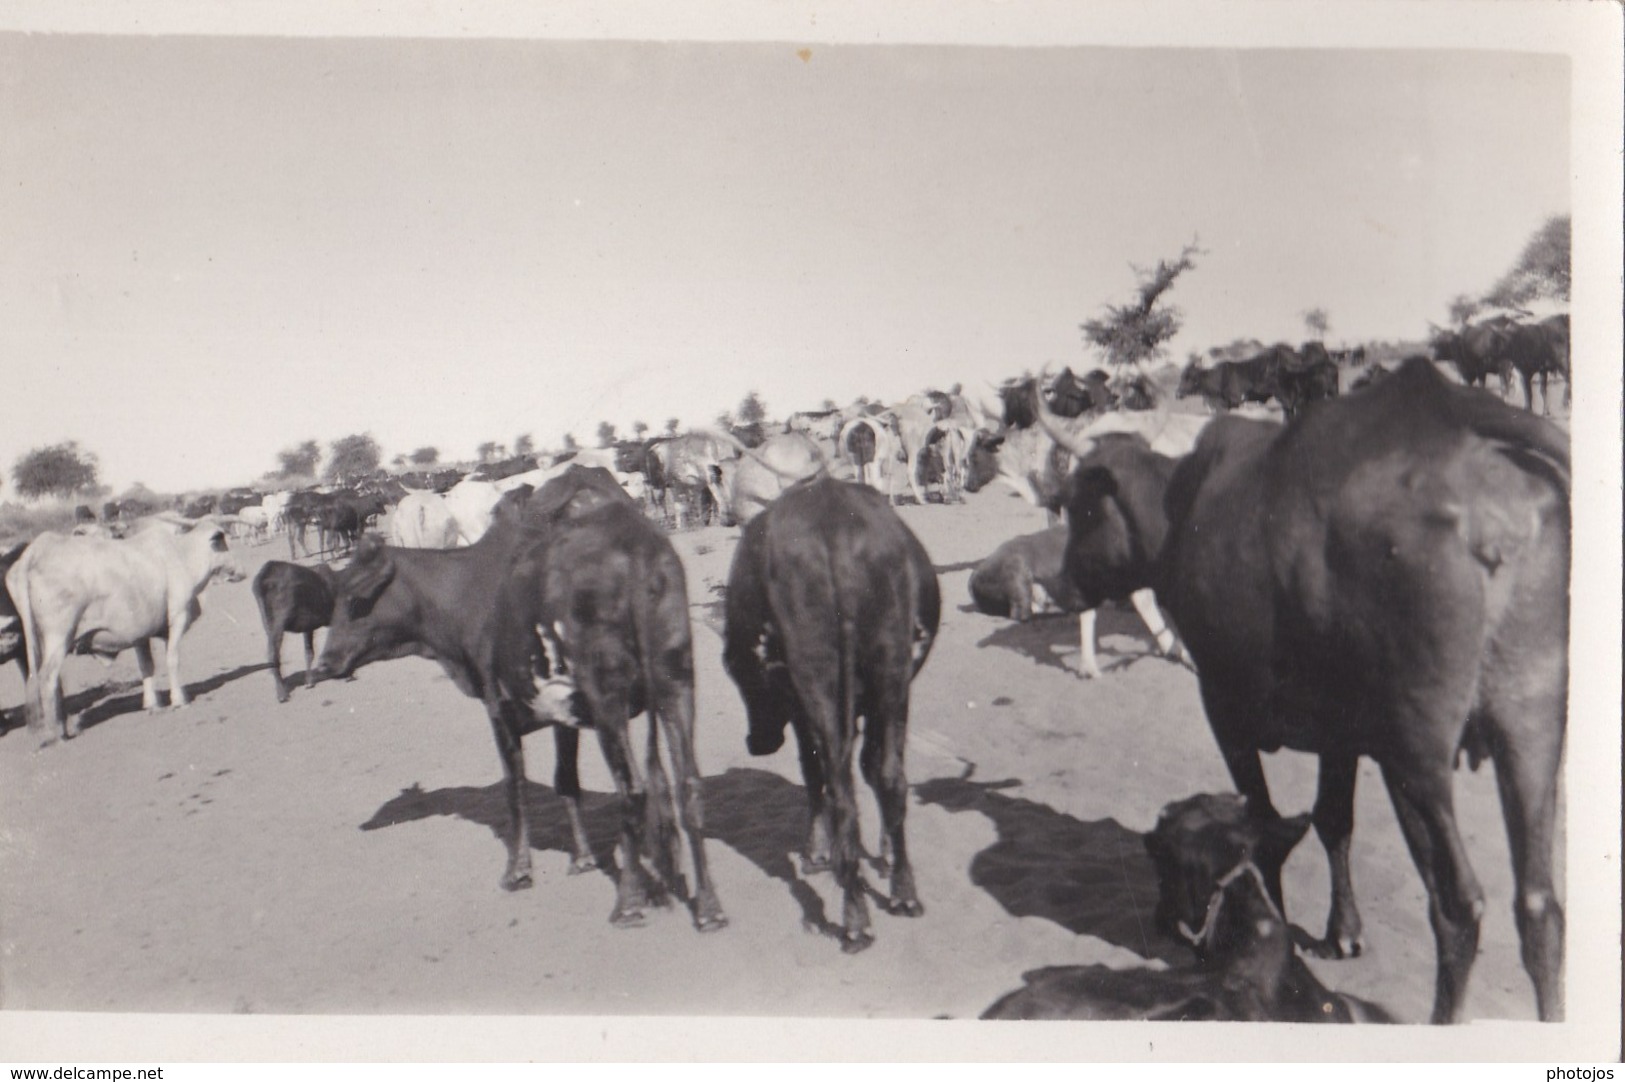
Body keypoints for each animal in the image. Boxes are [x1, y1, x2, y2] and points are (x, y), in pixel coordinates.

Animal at [7, 516, 247, 740]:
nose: (242, 571)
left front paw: (153, 704)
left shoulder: (140, 633)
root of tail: (37, 549)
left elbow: (146, 666)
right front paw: (179, 700)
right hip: (59, 636)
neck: (181, 555)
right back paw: (57, 733)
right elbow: (172, 659)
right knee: (48, 678)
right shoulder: (177, 617)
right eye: (224, 542)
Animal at [251, 558, 338, 705]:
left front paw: (309, 681)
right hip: (278, 623)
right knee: (273, 654)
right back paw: (282, 694)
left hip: (267, 623)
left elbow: (309, 652)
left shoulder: (308, 627)